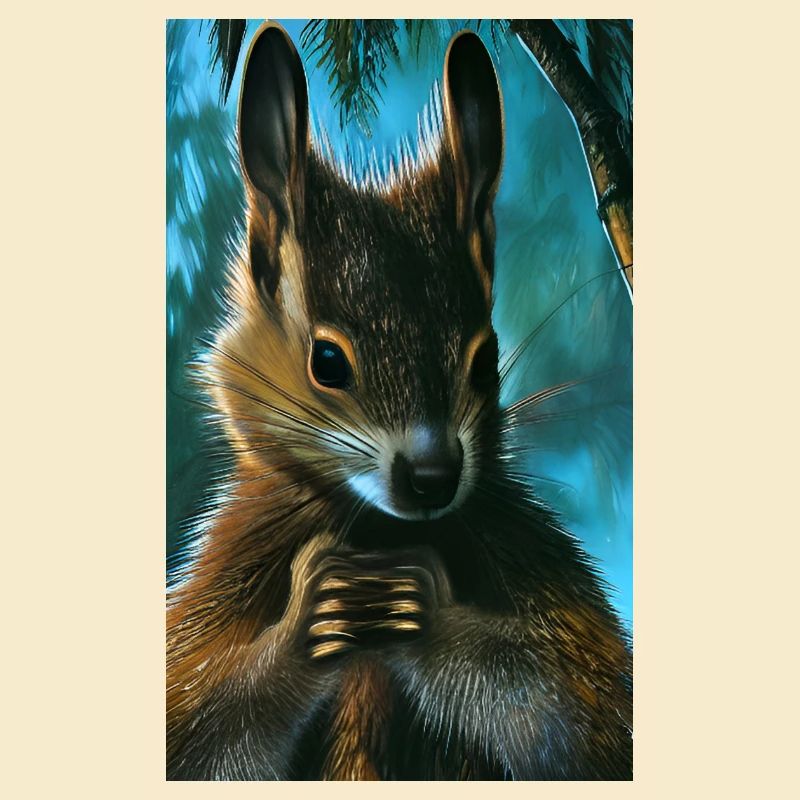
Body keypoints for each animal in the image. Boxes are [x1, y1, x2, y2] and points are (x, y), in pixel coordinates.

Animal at [166, 21, 633, 780]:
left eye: (485, 359)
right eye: (326, 362)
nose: (433, 476)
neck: (376, 530)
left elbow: (582, 720)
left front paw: (426, 610)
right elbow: (194, 728)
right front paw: (312, 618)